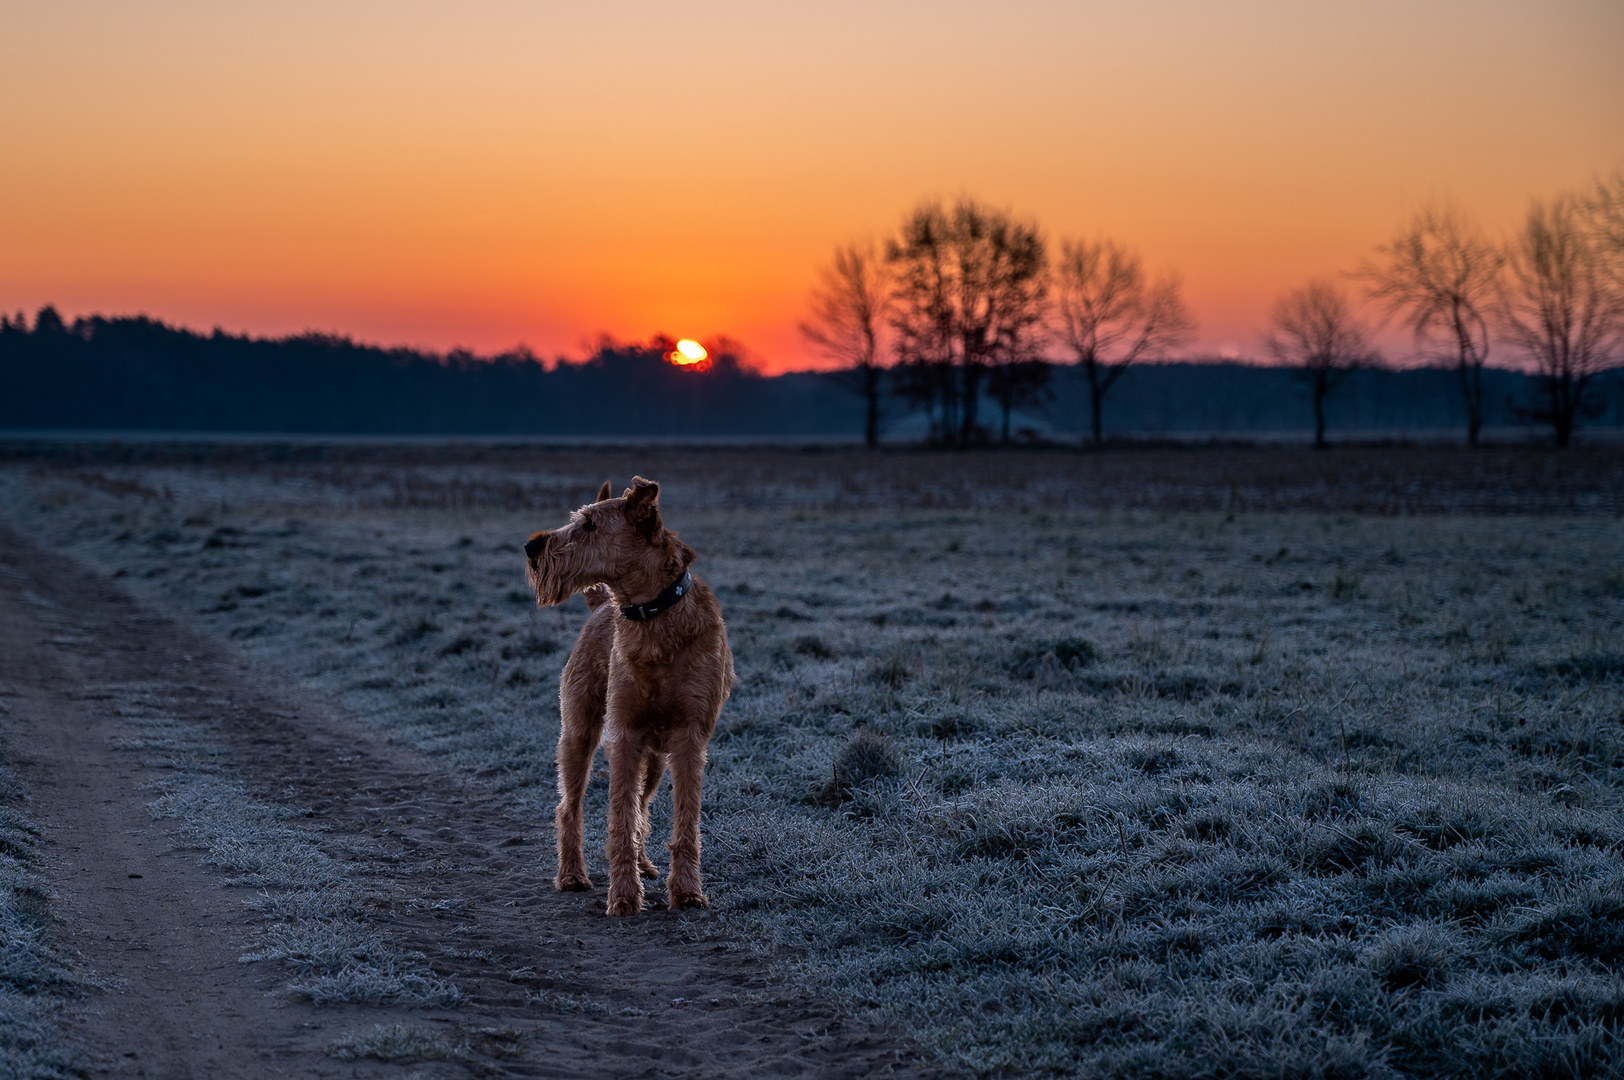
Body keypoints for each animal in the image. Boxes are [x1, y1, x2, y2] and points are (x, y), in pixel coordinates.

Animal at [522, 477, 734, 915]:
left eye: (589, 524)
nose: (532, 547)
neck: (652, 617)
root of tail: (602, 604)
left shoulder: (689, 738)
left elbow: (683, 819)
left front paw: (686, 891)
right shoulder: (623, 734)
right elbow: (619, 815)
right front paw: (622, 895)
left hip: (655, 759)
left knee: (642, 806)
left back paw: (644, 864)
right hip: (579, 733)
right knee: (570, 807)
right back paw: (572, 875)